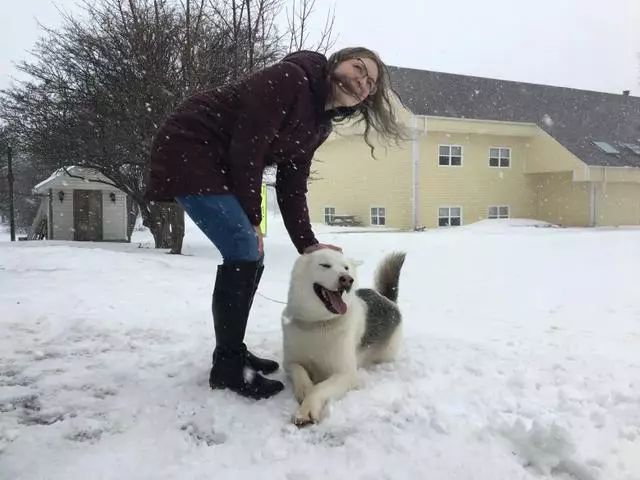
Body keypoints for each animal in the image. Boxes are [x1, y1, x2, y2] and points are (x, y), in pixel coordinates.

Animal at [280, 248, 404, 424]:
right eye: (325, 265)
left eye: (346, 268)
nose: (347, 280)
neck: (319, 323)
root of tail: (386, 298)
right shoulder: (289, 362)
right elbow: (299, 371)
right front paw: (305, 389)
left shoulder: (346, 374)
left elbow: (319, 388)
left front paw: (307, 409)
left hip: (386, 354)